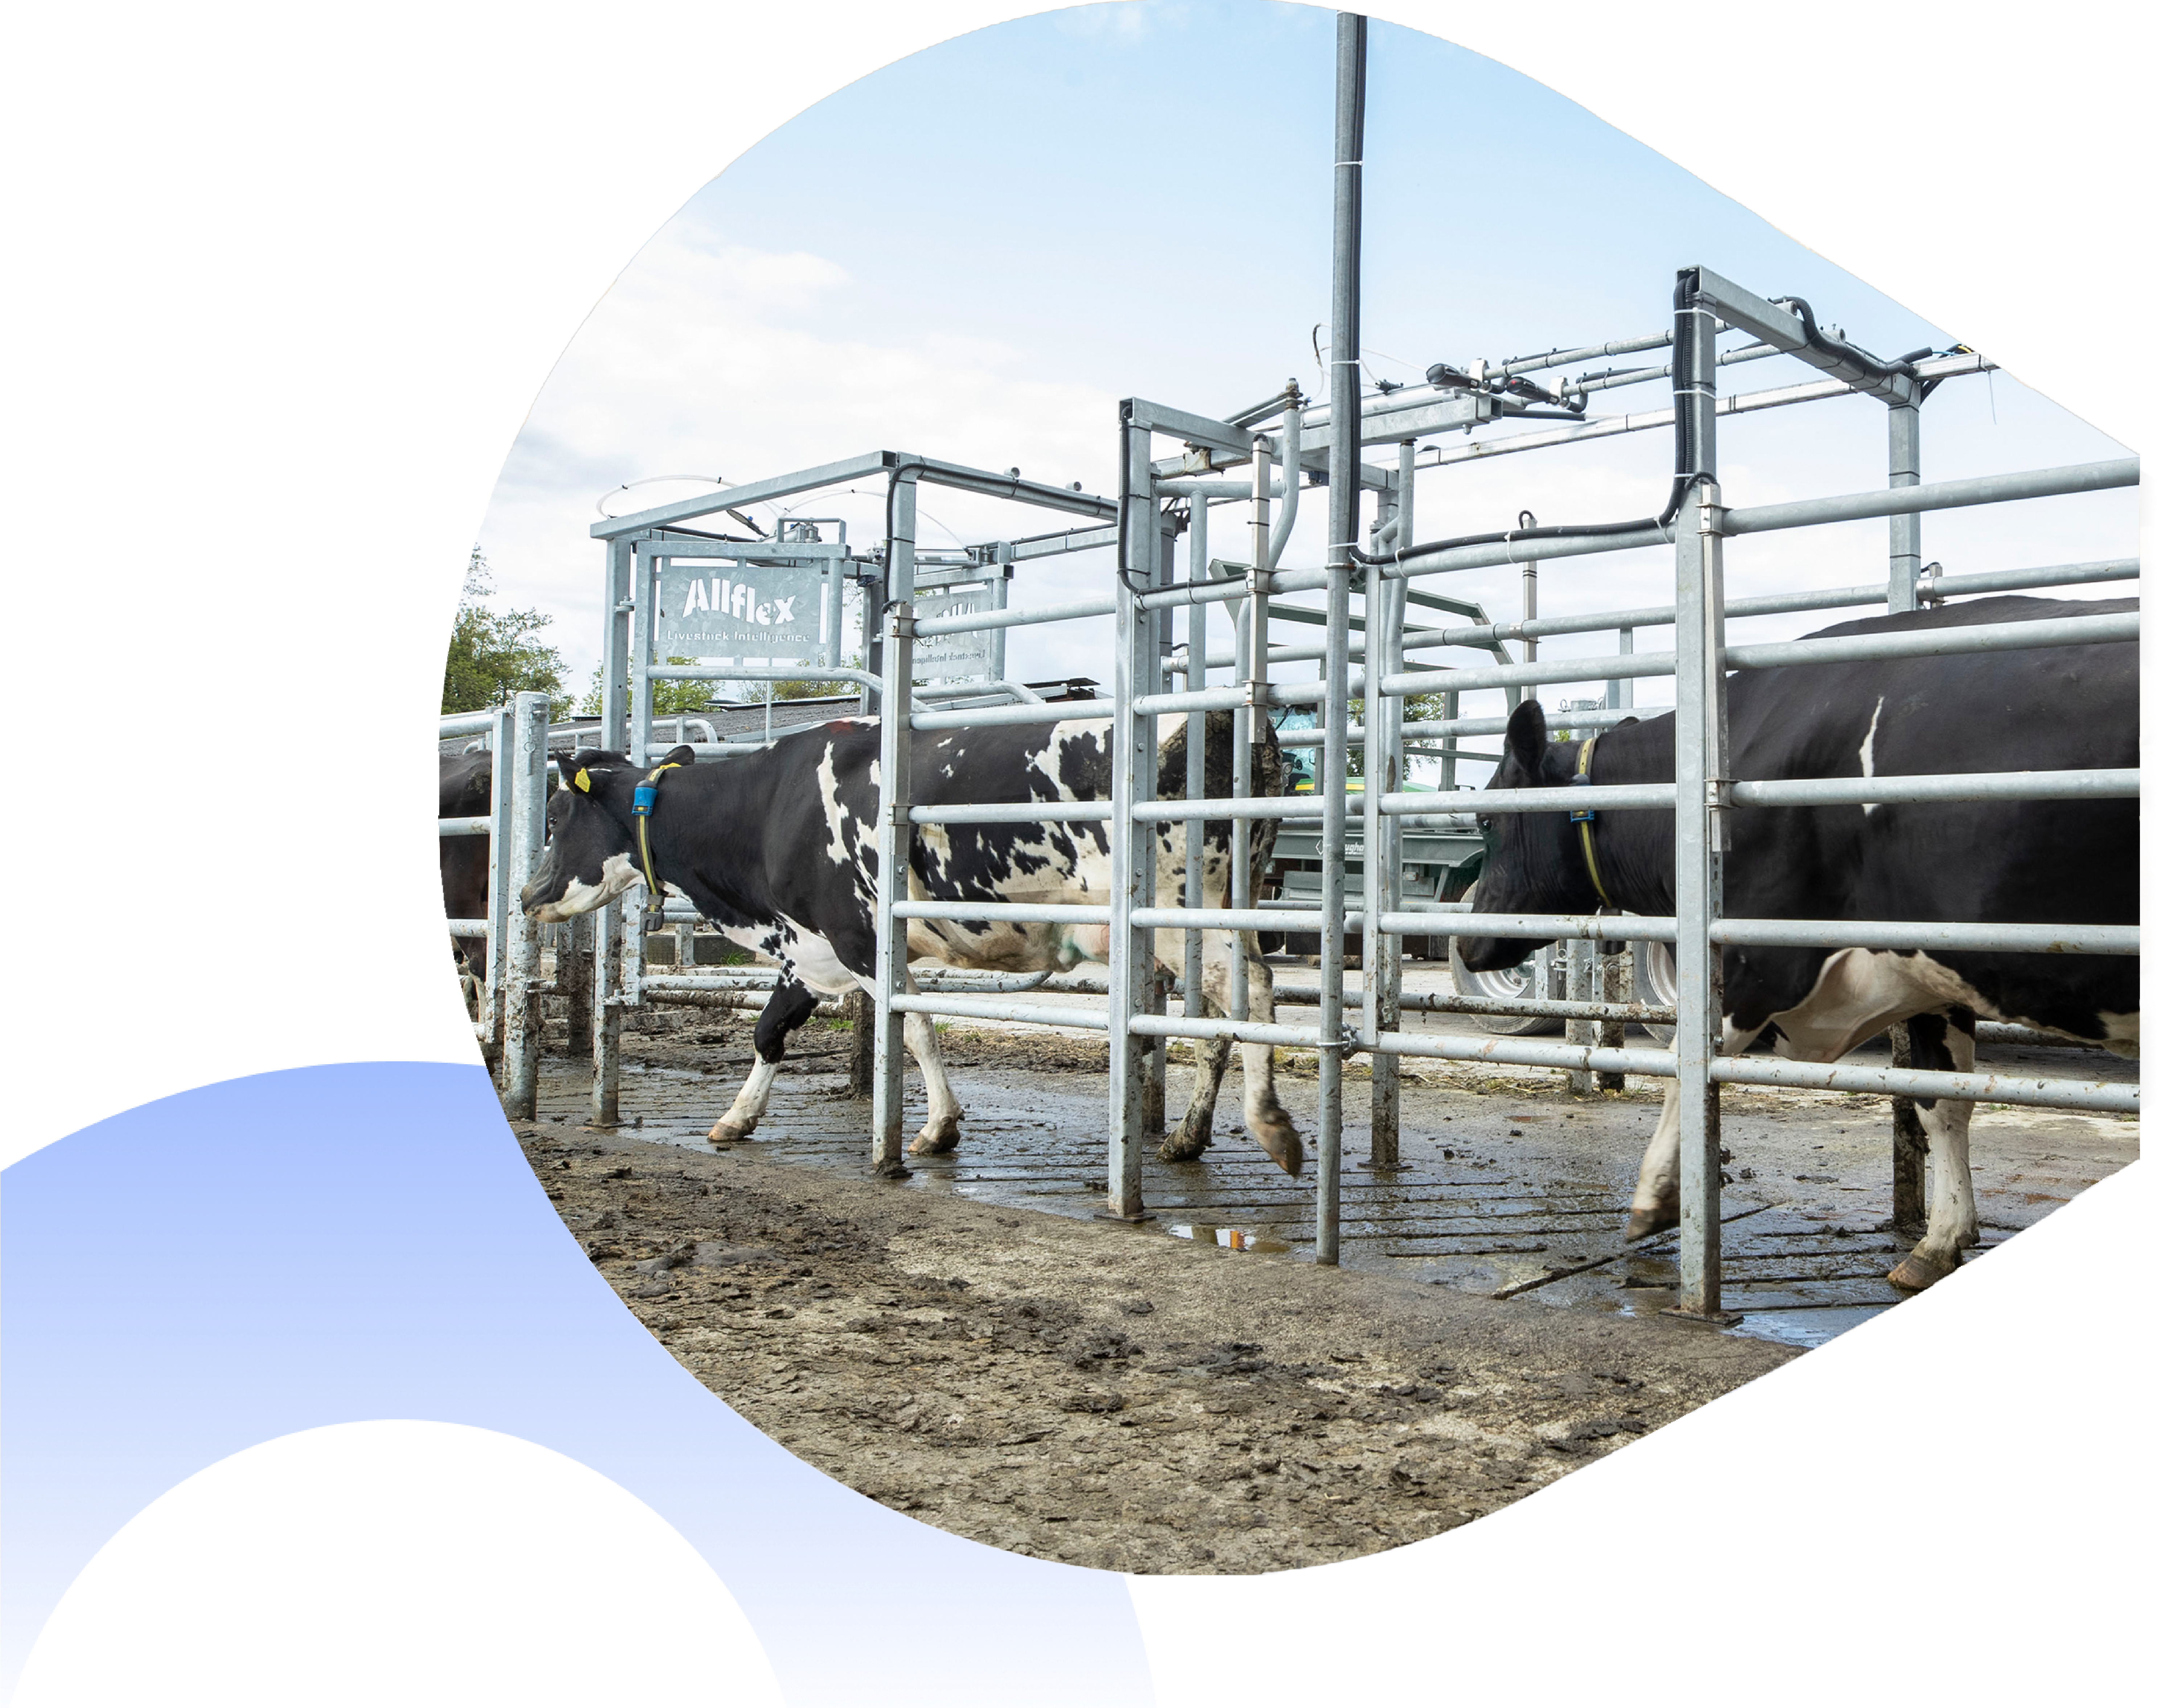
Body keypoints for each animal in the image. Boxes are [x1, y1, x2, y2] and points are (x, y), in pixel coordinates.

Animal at [522, 707, 1302, 1173]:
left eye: (556, 816)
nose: (528, 896)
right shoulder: (809, 945)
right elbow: (770, 1031)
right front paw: (737, 1117)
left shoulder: (859, 937)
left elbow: (916, 1027)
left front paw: (936, 1128)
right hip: (1211, 918)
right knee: (1221, 1020)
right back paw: (1189, 1135)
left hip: (1179, 915)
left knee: (1254, 995)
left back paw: (1270, 1125)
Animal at [1458, 595, 2131, 1285]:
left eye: (1485, 818)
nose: (1465, 945)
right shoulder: (1929, 977)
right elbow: (1941, 1104)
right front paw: (1939, 1240)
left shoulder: (1753, 958)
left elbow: (1687, 1070)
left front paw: (1655, 1199)